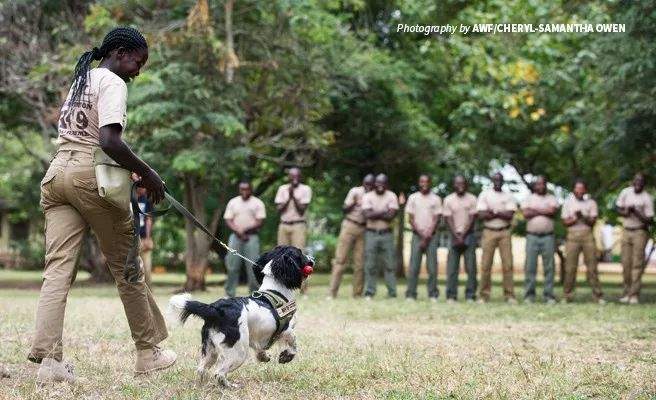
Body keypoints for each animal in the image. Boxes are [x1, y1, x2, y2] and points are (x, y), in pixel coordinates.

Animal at [169, 245, 312, 386]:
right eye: (300, 254)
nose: (312, 259)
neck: (275, 291)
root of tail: (216, 309)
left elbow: (260, 349)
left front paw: (264, 356)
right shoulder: (286, 329)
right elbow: (294, 343)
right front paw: (286, 356)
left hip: (210, 349)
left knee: (201, 369)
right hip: (239, 351)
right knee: (219, 373)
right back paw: (230, 386)